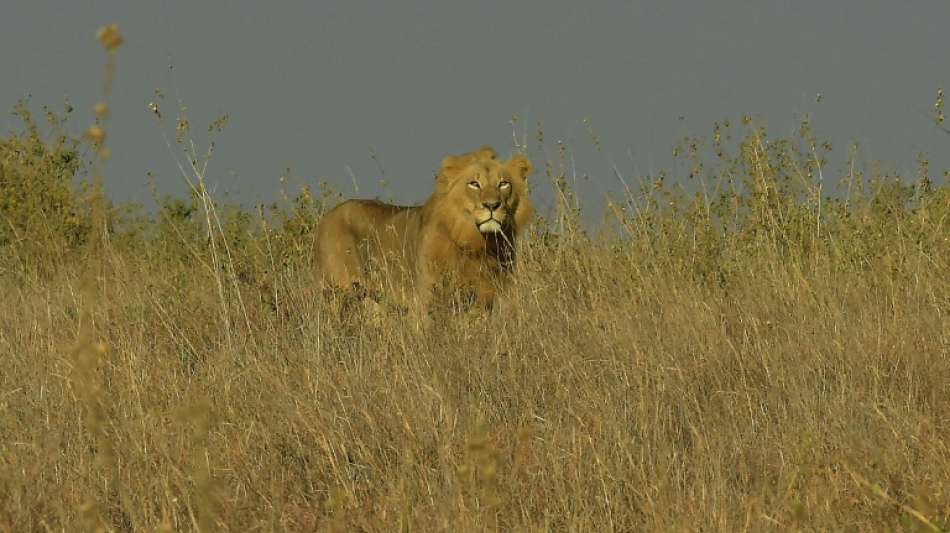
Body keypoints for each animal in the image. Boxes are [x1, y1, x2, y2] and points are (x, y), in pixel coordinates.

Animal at [316, 146, 533, 315]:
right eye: (474, 183)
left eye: (503, 183)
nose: (492, 205)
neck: (477, 243)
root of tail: (328, 215)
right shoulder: (426, 298)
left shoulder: (485, 298)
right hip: (338, 291)